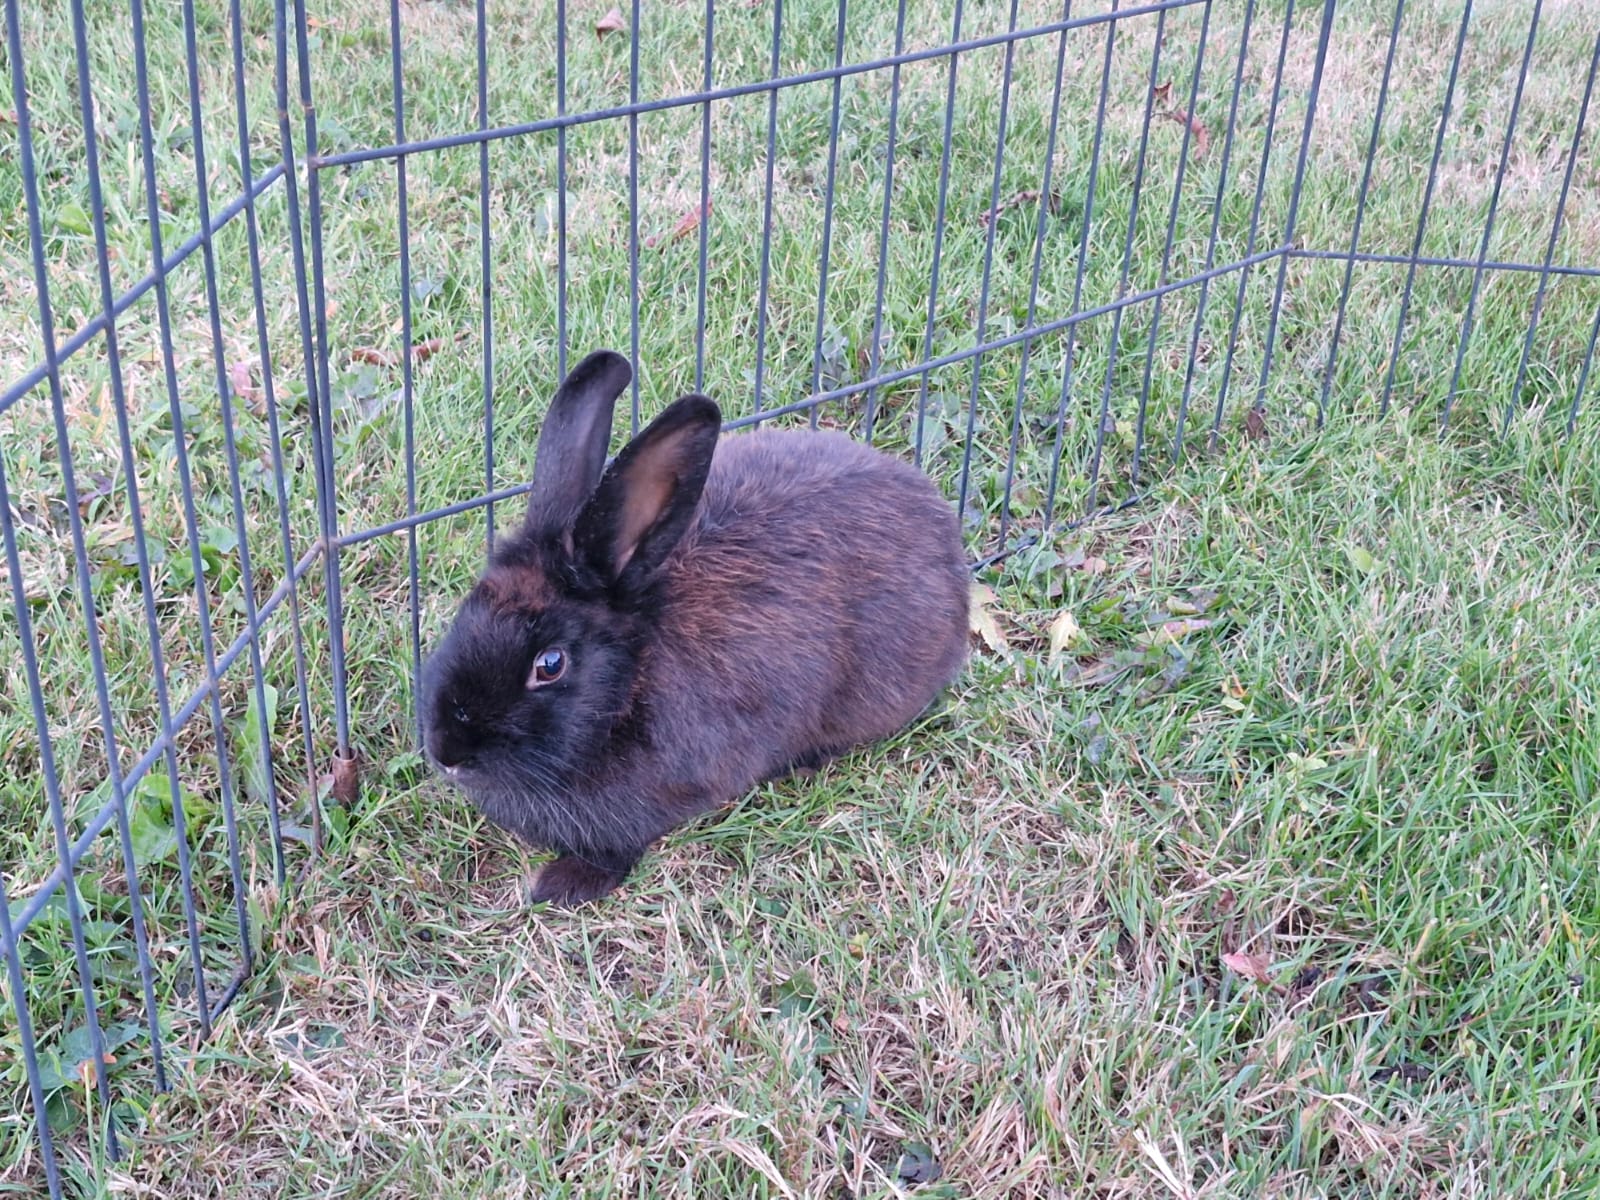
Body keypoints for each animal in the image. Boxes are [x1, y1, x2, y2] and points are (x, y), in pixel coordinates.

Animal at [418, 349, 971, 907]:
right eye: (467, 611)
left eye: (549, 665)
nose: (447, 753)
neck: (627, 686)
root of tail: (948, 537)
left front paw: (560, 885)